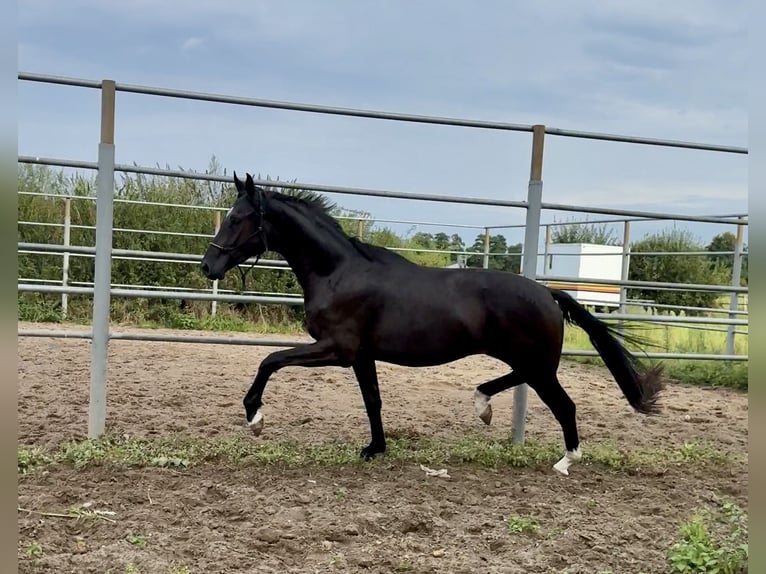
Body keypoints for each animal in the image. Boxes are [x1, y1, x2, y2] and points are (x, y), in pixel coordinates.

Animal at [204, 174, 664, 476]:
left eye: (238, 218)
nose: (209, 266)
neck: (337, 272)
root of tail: (548, 293)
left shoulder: (338, 349)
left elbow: (270, 360)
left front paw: (255, 418)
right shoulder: (362, 356)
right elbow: (373, 401)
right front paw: (375, 448)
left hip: (536, 364)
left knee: (564, 405)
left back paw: (565, 461)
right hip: (528, 361)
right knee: (519, 383)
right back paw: (482, 406)